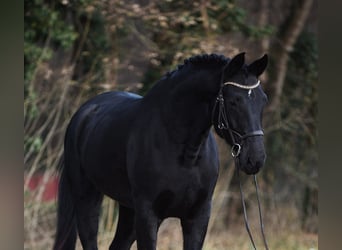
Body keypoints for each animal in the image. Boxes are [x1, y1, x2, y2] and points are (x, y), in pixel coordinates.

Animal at [53, 51, 268, 249]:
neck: (185, 156)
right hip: (87, 198)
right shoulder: (148, 214)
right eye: (233, 101)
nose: (255, 158)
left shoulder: (198, 217)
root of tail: (84, 113)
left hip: (128, 209)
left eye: (263, 100)